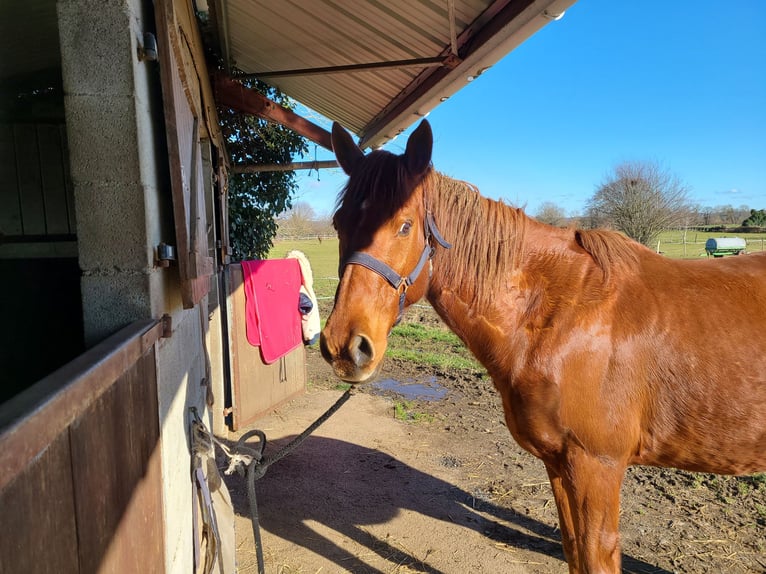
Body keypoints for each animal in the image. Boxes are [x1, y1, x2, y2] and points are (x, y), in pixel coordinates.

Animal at [322, 119, 766, 572]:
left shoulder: (597, 467)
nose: (345, 347)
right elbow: (573, 549)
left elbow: (596, 553)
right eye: (339, 223)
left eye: (405, 225)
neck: (562, 314)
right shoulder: (559, 464)